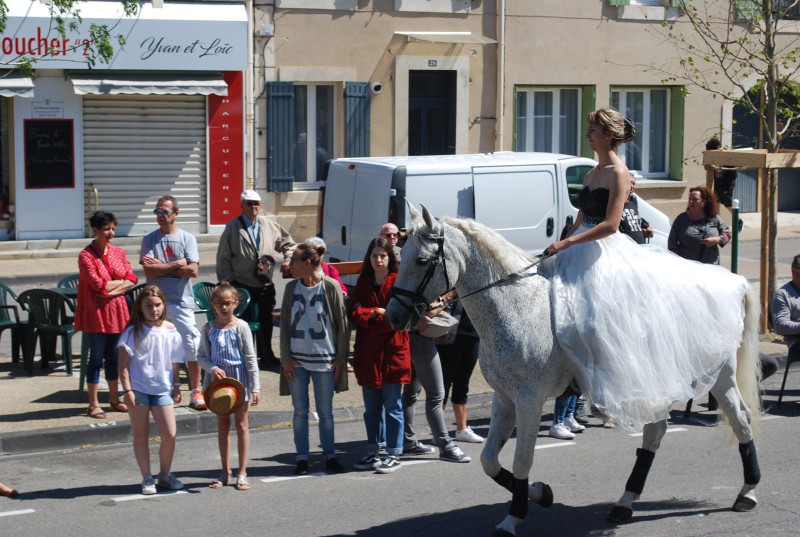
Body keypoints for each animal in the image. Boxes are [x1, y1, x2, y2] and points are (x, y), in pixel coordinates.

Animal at [388, 205, 764, 536]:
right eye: (400, 255)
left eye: (421, 260)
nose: (393, 315)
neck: (515, 306)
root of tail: (733, 282)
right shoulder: (505, 399)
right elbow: (489, 461)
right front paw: (540, 494)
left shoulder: (528, 399)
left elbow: (522, 460)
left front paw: (514, 517)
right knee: (655, 433)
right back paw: (625, 503)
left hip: (718, 377)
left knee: (741, 421)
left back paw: (747, 493)